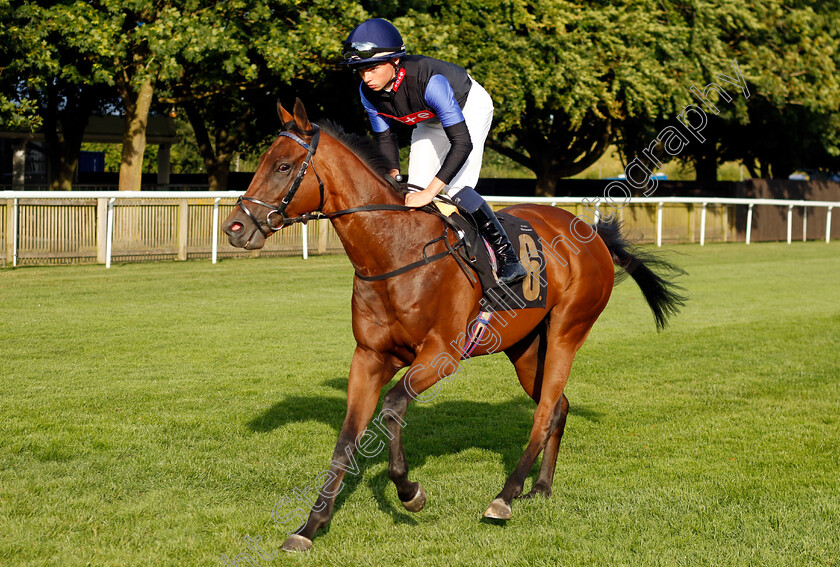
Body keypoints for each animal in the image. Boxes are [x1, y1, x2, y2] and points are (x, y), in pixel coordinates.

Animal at [221, 100, 684, 552]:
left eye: (283, 166)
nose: (235, 228)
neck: (395, 250)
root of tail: (592, 234)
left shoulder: (441, 355)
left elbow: (392, 409)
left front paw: (409, 492)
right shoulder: (369, 356)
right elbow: (347, 438)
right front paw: (310, 525)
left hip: (567, 332)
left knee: (544, 411)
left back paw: (505, 496)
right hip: (525, 348)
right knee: (558, 407)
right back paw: (541, 487)